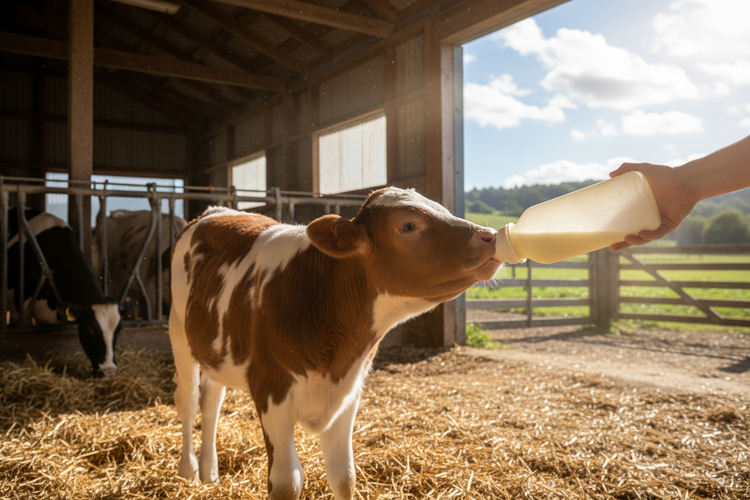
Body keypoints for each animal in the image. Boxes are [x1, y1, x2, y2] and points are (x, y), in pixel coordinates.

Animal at [168, 187, 501, 499]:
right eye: (407, 225)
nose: (491, 236)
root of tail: (213, 211)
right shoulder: (271, 390)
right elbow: (287, 483)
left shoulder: (348, 396)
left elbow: (344, 477)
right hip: (178, 333)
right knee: (189, 400)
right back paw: (188, 471)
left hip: (214, 349)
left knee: (211, 401)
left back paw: (210, 473)